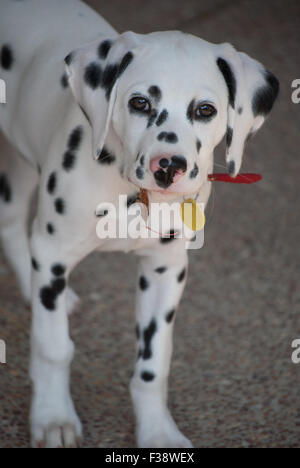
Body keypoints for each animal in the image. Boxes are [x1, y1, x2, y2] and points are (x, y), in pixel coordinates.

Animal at [0, 0, 278, 448]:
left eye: (205, 110)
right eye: (140, 103)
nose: (168, 167)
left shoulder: (165, 268)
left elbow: (153, 364)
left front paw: (157, 431)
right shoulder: (55, 253)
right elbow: (52, 346)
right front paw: (53, 417)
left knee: (9, 214)